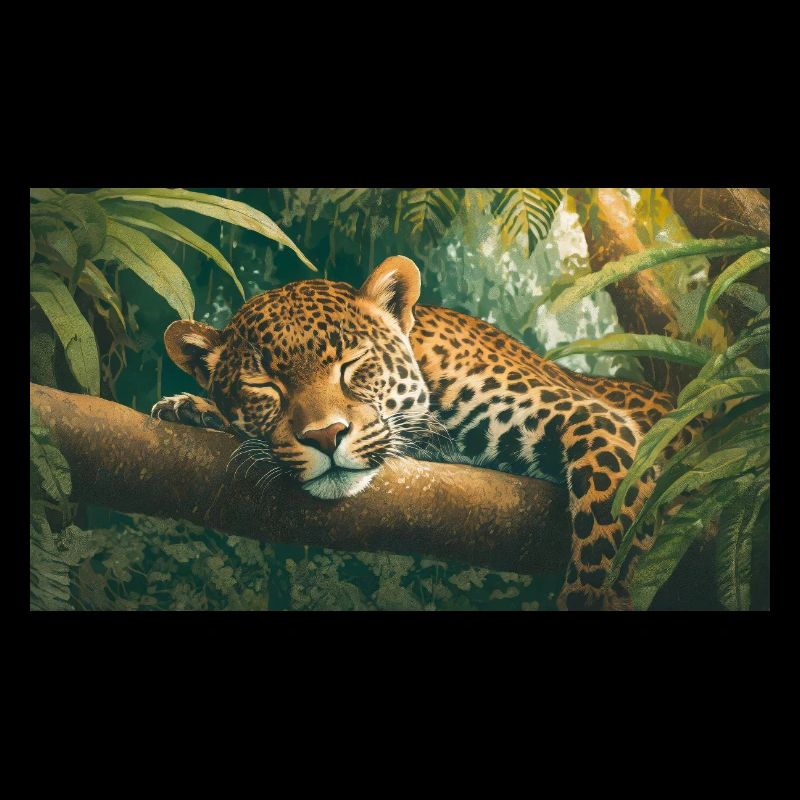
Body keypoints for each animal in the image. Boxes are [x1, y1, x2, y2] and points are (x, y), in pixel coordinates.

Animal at [153, 255, 701, 610]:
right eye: (265, 385)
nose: (326, 437)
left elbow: (607, 535)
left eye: (351, 364)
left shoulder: (594, 417)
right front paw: (191, 407)